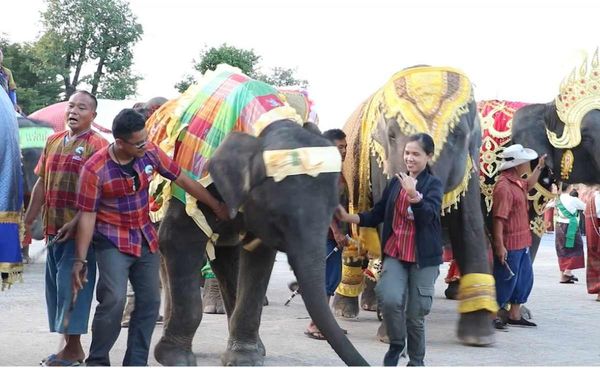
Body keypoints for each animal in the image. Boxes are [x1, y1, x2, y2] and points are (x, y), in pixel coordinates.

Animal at [332, 64, 496, 346]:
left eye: (458, 135)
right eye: (391, 135)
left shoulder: (469, 166)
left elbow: (470, 226)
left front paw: (479, 337)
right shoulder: (382, 163)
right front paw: (390, 335)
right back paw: (345, 310)